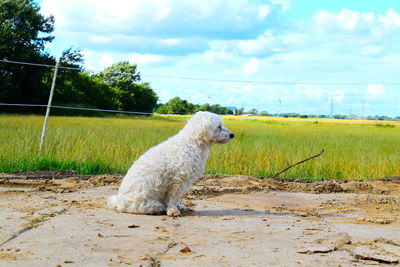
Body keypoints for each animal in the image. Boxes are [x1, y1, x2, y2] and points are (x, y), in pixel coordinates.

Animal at [106, 112, 234, 217]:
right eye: (219, 126)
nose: (232, 135)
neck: (193, 142)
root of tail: (118, 201)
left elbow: (177, 198)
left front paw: (179, 207)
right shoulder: (178, 180)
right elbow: (173, 198)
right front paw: (173, 211)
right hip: (148, 203)